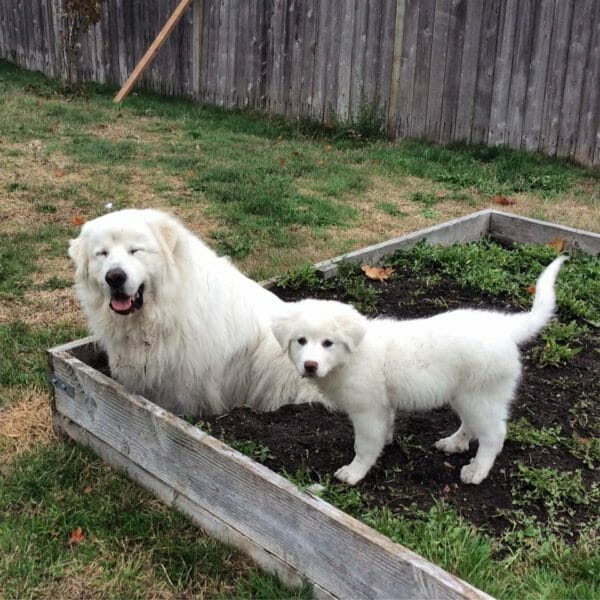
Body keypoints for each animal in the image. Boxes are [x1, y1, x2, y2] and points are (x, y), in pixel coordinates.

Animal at [272, 255, 568, 486]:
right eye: (301, 341)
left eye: (327, 343)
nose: (310, 366)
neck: (351, 356)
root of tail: (504, 327)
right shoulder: (382, 407)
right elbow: (384, 429)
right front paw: (386, 441)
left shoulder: (367, 410)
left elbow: (364, 444)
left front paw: (354, 472)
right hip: (465, 395)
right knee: (472, 426)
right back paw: (455, 443)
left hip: (481, 395)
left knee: (494, 434)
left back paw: (477, 470)